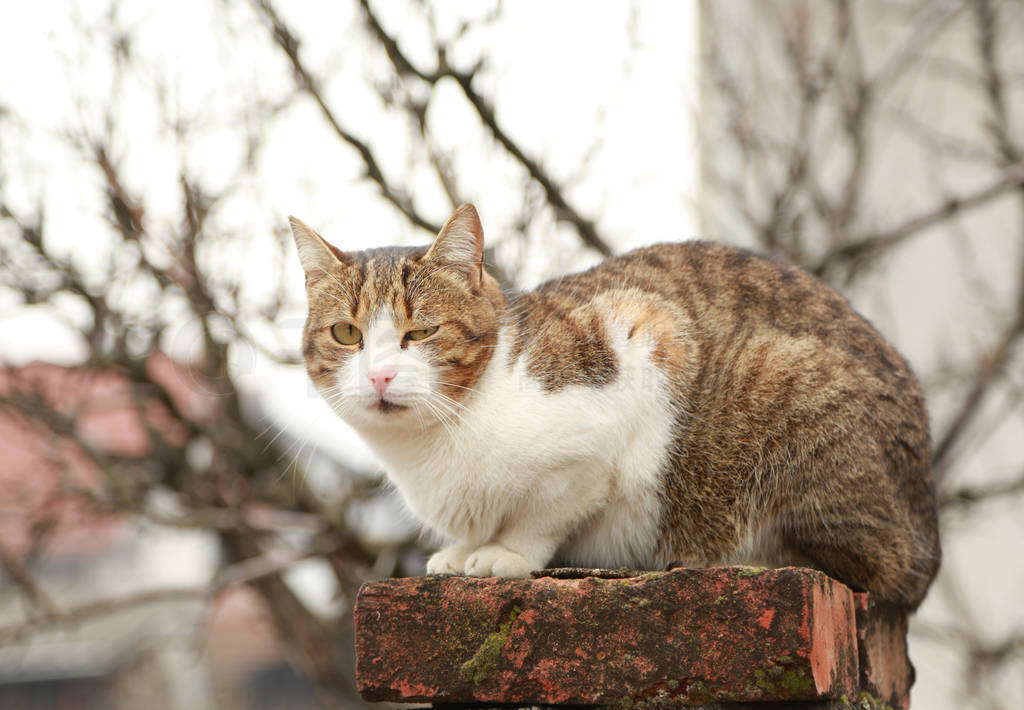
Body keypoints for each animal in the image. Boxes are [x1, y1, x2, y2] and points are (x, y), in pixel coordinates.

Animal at [292, 201, 937, 606]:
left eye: (420, 333)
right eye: (346, 334)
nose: (378, 375)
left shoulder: (643, 337)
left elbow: (547, 510)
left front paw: (504, 554)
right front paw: (465, 551)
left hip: (784, 383)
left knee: (858, 565)